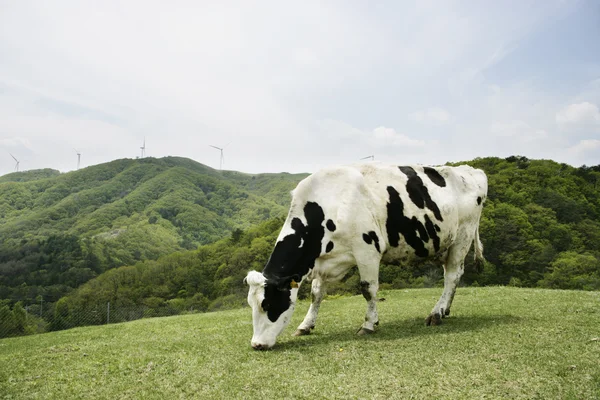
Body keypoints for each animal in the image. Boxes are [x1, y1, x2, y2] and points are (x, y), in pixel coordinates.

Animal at [244, 161, 488, 348]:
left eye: (267, 305)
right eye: (250, 305)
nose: (257, 345)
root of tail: (471, 170)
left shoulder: (368, 251)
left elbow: (367, 289)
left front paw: (369, 324)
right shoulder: (323, 262)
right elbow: (316, 294)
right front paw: (305, 325)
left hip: (462, 237)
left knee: (452, 276)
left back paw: (436, 314)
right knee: (453, 274)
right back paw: (445, 310)